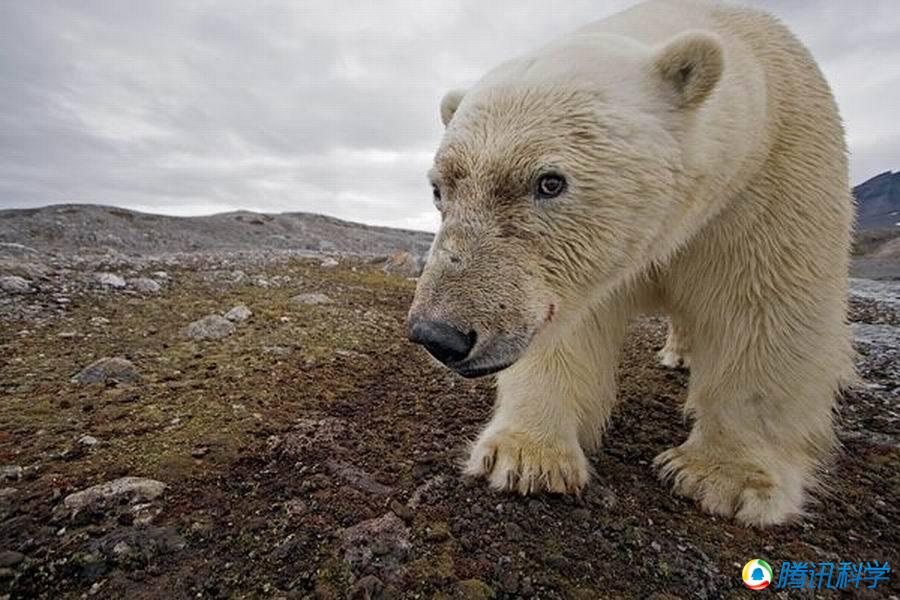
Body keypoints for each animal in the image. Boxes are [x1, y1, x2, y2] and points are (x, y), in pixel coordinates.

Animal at [406, 0, 852, 524]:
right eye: (440, 189)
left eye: (550, 182)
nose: (439, 334)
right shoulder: (584, 267)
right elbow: (572, 327)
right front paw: (525, 456)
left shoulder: (770, 180)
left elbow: (765, 309)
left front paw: (725, 478)